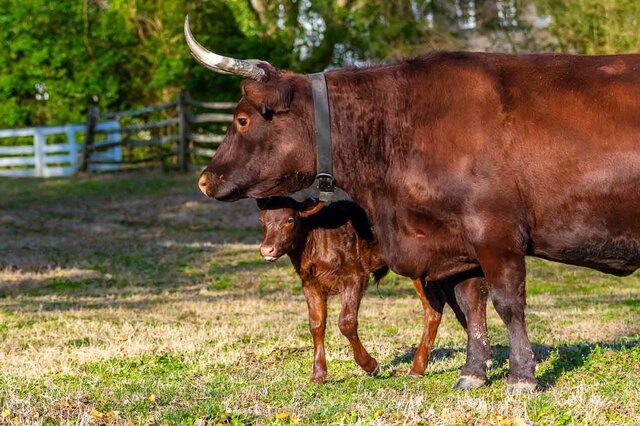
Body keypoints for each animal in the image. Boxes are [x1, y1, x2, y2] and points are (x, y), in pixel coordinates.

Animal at [256, 196, 483, 381]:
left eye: (290, 220)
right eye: (262, 220)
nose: (267, 250)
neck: (317, 240)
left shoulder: (355, 277)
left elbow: (346, 322)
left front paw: (371, 365)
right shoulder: (310, 285)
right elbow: (316, 324)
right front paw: (318, 374)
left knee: (436, 306)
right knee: (452, 304)